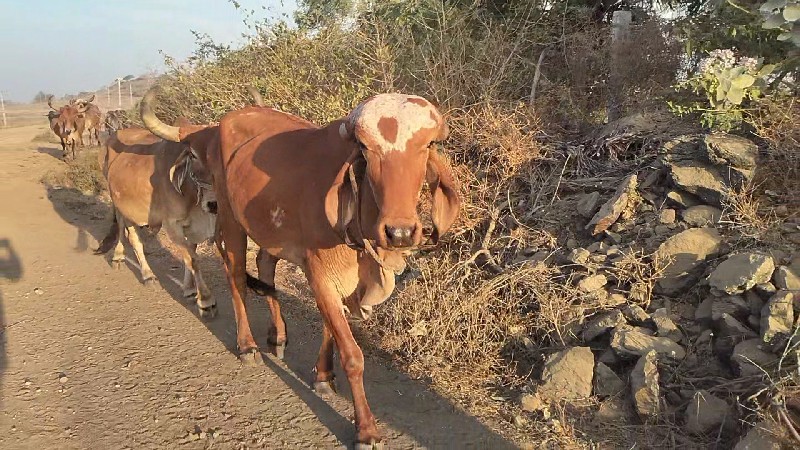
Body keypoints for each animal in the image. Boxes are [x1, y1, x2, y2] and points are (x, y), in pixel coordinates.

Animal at [94, 124, 219, 316]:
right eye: (193, 155)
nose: (214, 204)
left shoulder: (191, 228)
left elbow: (190, 254)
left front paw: (189, 289)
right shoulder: (172, 225)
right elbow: (193, 259)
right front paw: (206, 300)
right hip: (121, 205)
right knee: (130, 236)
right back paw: (140, 270)